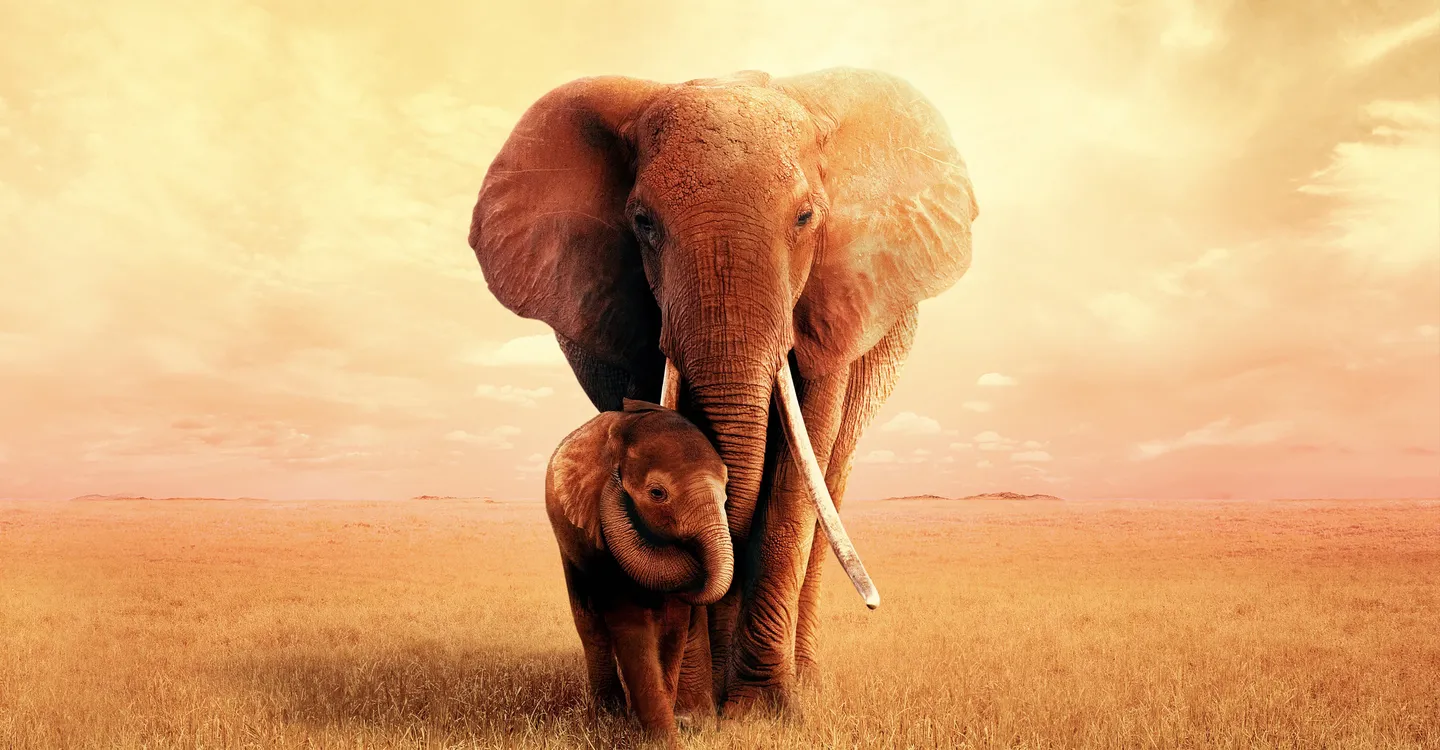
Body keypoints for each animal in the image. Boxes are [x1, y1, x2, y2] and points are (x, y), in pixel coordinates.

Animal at [545, 398, 733, 744]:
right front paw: (662, 740)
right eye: (658, 493)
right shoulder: (599, 535)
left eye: (726, 493)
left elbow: (673, 626)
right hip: (567, 541)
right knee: (590, 623)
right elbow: (630, 624)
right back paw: (607, 716)